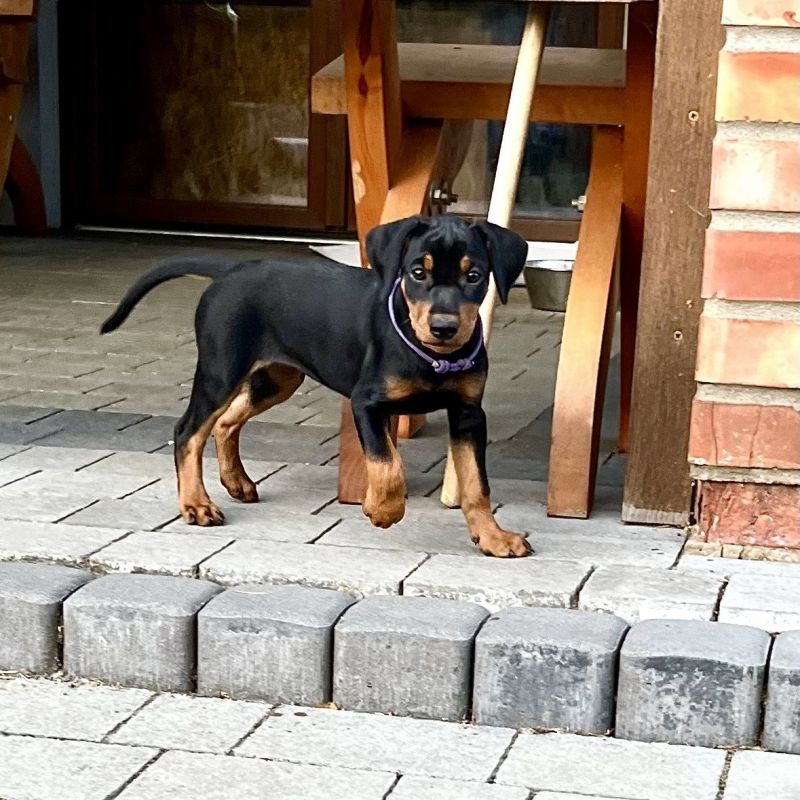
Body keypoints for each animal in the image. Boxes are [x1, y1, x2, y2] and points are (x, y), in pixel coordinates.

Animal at [101, 214, 532, 557]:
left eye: (474, 276)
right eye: (417, 273)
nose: (444, 328)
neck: (431, 356)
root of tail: (231, 270)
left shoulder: (468, 414)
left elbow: (476, 485)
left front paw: (493, 537)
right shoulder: (366, 403)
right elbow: (388, 464)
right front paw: (382, 509)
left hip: (277, 378)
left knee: (226, 422)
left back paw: (237, 482)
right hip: (220, 370)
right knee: (188, 430)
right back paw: (196, 504)